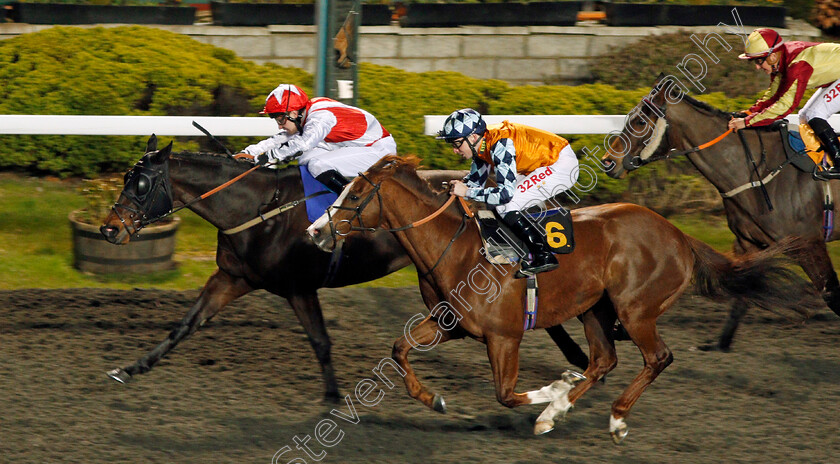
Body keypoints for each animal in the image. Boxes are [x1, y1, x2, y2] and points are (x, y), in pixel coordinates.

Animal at [100, 134, 592, 398]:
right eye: (126, 178)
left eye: (141, 185)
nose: (109, 229)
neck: (258, 208)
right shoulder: (234, 277)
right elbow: (185, 325)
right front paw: (131, 368)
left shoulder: (298, 287)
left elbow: (320, 341)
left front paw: (334, 396)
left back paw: (580, 357)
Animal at [306, 156, 812, 442]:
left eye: (355, 195)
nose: (315, 231)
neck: (457, 249)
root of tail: (679, 236)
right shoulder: (453, 326)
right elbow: (399, 349)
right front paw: (435, 401)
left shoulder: (504, 336)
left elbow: (506, 393)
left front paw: (554, 389)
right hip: (594, 308)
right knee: (604, 360)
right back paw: (557, 414)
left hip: (634, 310)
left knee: (657, 358)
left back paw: (612, 418)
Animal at [600, 75, 840, 352]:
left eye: (640, 121)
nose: (608, 162)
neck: (759, 172)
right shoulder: (748, 243)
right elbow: (744, 288)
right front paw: (720, 345)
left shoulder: (809, 243)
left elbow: (831, 293)